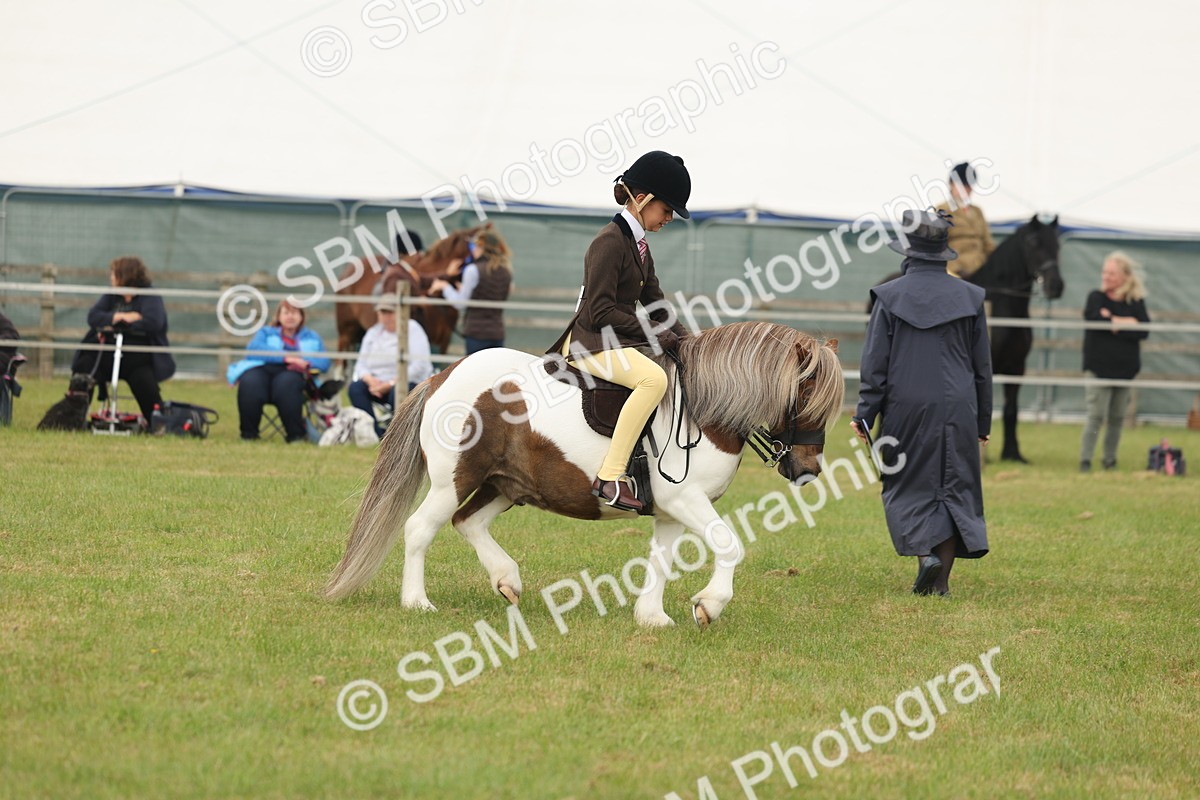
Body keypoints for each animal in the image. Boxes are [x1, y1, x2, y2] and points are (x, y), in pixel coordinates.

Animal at [324, 321, 845, 628]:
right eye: (806, 392)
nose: (808, 470)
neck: (703, 407)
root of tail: (440, 376)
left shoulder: (671, 512)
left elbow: (661, 560)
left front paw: (652, 618)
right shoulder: (686, 501)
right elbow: (730, 545)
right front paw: (708, 605)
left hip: (505, 484)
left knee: (466, 523)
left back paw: (507, 580)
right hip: (456, 478)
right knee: (420, 528)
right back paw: (417, 602)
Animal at [967, 214, 1063, 462]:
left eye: (1058, 245)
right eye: (1035, 243)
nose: (1056, 286)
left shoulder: (1017, 367)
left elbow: (1011, 411)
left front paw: (1012, 453)